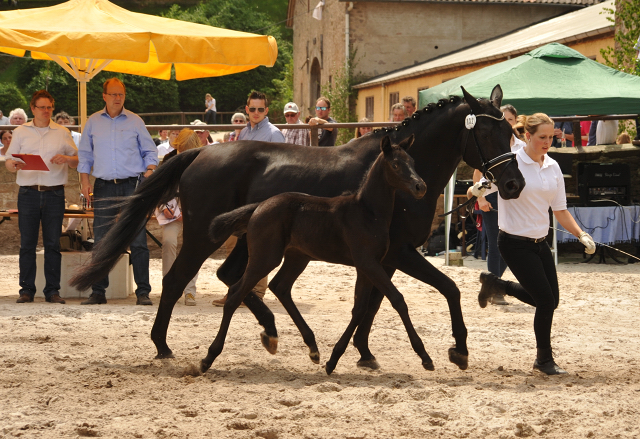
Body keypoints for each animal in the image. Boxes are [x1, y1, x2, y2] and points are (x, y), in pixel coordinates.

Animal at [205, 135, 430, 374]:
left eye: (412, 162)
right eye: (395, 164)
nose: (420, 187)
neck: (367, 213)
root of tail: (259, 206)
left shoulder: (366, 266)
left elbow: (359, 308)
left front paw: (333, 360)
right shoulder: (369, 263)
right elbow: (397, 300)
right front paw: (425, 357)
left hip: (297, 257)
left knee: (280, 287)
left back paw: (313, 348)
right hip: (265, 258)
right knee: (235, 295)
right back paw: (208, 358)